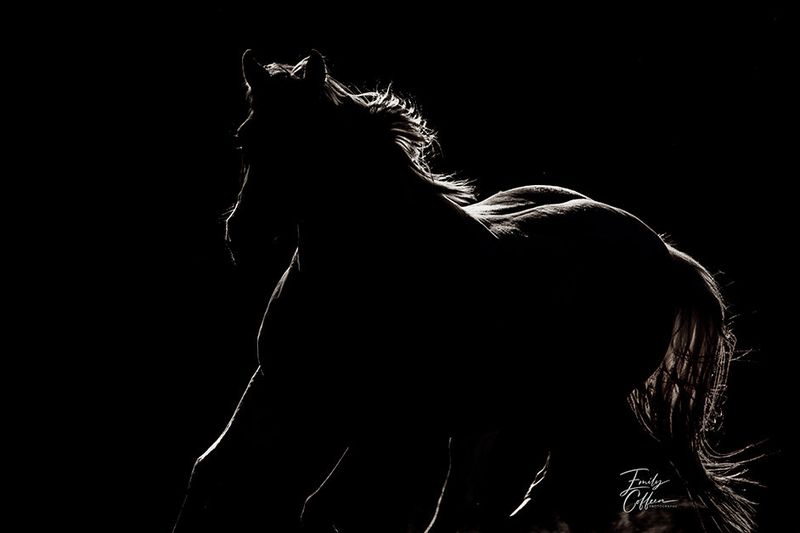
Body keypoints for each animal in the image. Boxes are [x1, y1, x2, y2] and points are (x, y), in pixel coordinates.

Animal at [172, 50, 757, 533]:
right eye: (246, 138)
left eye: (308, 145)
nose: (243, 235)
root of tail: (660, 249)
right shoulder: (279, 387)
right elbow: (207, 473)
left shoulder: (385, 422)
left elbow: (321, 511)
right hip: (509, 414)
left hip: (575, 407)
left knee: (556, 501)